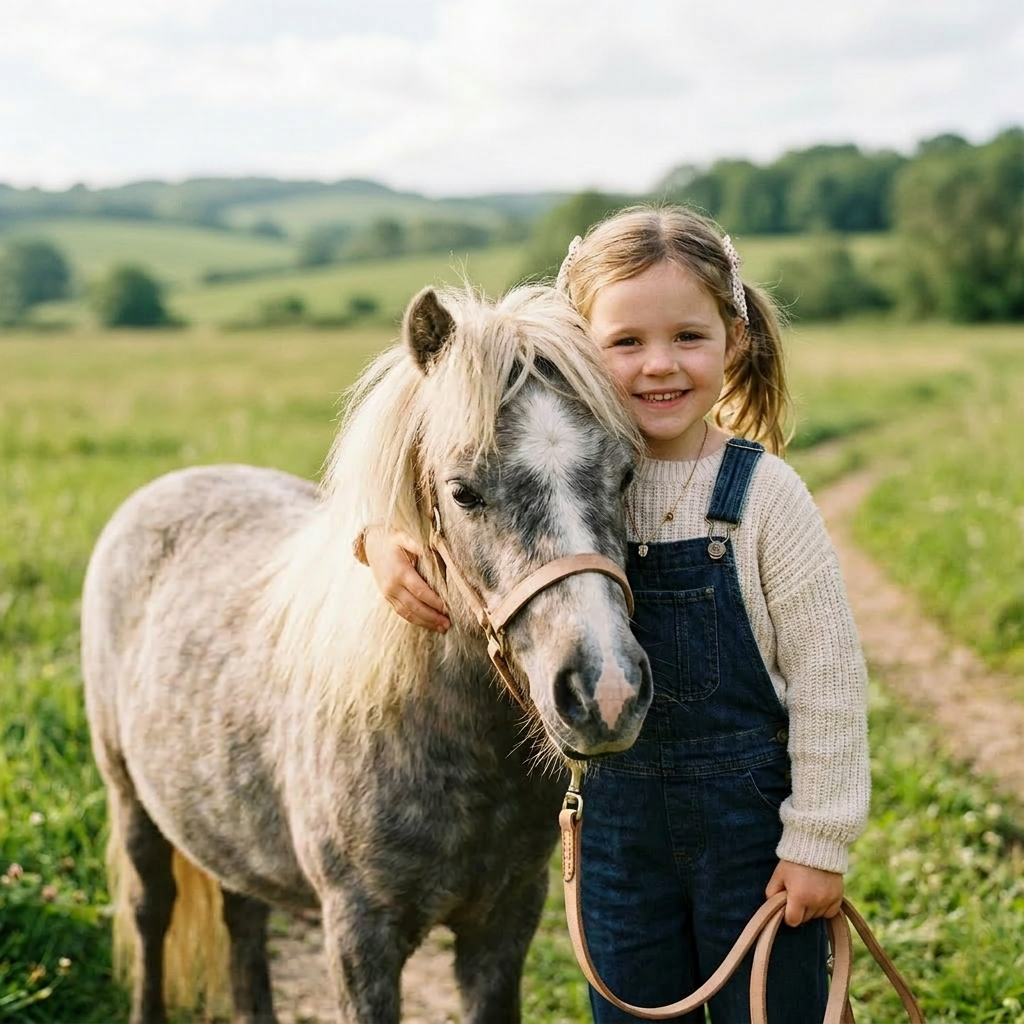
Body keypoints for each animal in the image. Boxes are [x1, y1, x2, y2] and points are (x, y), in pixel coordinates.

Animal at [82, 283, 654, 1024]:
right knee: (151, 912)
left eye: (626, 474)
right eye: (463, 491)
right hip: (130, 797)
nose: (606, 691)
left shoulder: (504, 923)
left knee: (243, 921)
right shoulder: (362, 939)